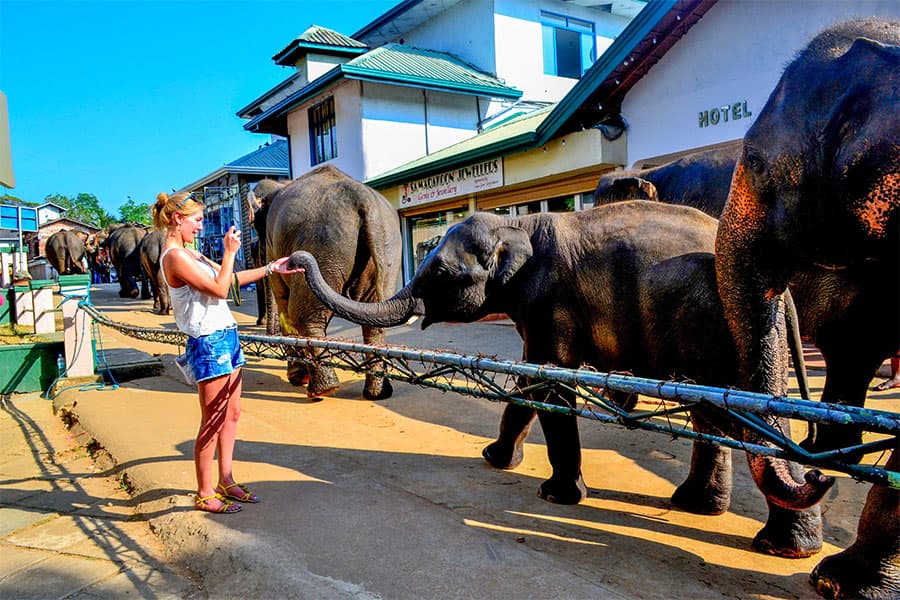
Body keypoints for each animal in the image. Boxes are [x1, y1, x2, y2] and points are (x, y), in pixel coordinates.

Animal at [262, 164, 402, 400]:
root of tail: (363, 198)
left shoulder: (272, 243)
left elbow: (283, 303)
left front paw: (296, 378)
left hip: (322, 245)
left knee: (302, 315)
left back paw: (322, 390)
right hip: (387, 247)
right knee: (375, 320)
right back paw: (376, 394)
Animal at [288, 200, 833, 557]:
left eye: (439, 274)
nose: (293, 260)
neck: (516, 223)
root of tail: (782, 290)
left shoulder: (550, 300)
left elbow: (550, 384)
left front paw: (556, 496)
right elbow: (528, 385)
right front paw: (494, 459)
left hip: (714, 326)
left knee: (738, 418)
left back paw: (785, 546)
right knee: (713, 415)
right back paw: (707, 509)